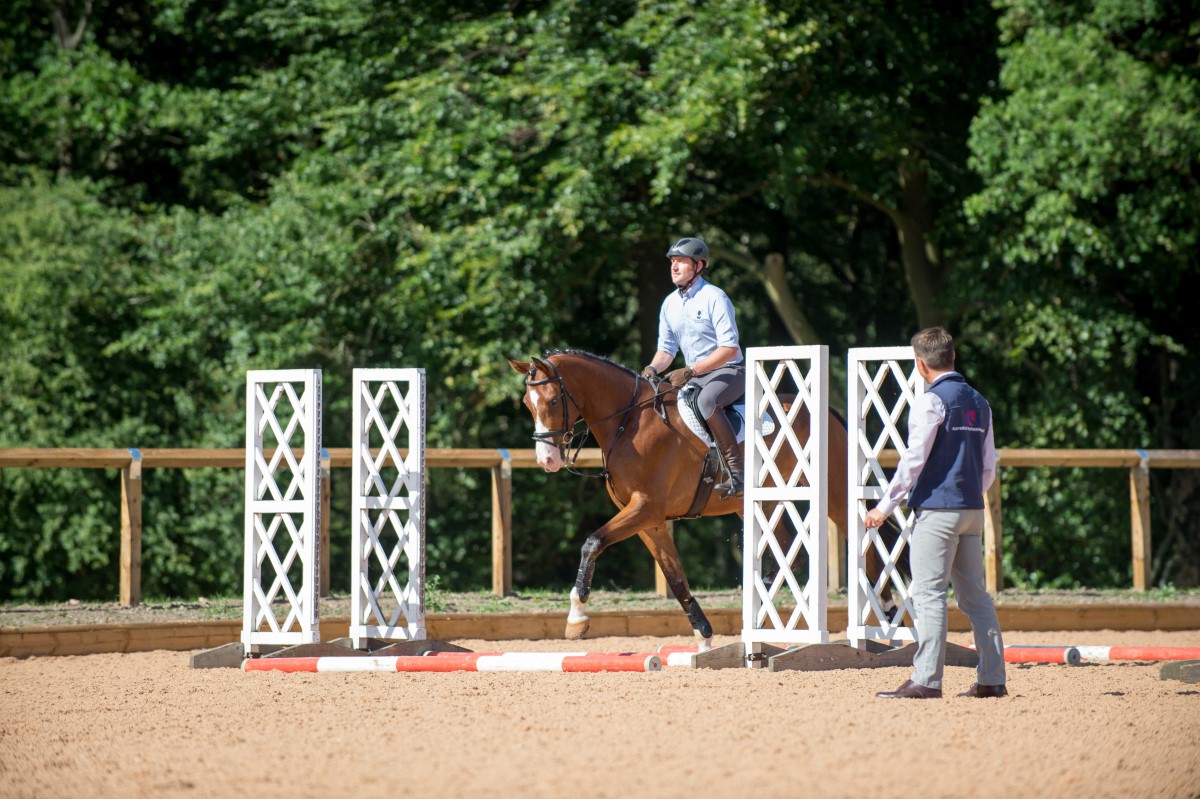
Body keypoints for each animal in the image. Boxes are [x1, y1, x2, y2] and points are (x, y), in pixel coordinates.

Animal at [508, 349, 894, 648]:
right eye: (527, 404)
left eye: (553, 400)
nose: (547, 460)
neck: (629, 422)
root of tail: (828, 414)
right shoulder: (649, 520)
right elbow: (674, 575)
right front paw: (704, 634)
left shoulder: (644, 508)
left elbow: (592, 542)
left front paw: (576, 617)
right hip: (760, 504)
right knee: (789, 552)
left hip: (835, 496)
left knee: (866, 543)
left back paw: (887, 613)